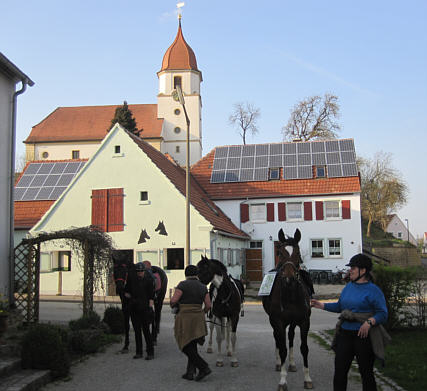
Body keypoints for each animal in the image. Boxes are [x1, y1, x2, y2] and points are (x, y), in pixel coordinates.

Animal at [260, 230, 314, 391]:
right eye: (280, 253)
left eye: (297, 252)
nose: (289, 278)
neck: (290, 294)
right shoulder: (278, 321)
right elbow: (282, 347)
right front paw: (283, 380)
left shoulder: (304, 321)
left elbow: (304, 348)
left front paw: (307, 378)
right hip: (274, 322)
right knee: (277, 338)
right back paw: (279, 363)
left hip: (293, 322)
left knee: (290, 337)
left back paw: (291, 363)